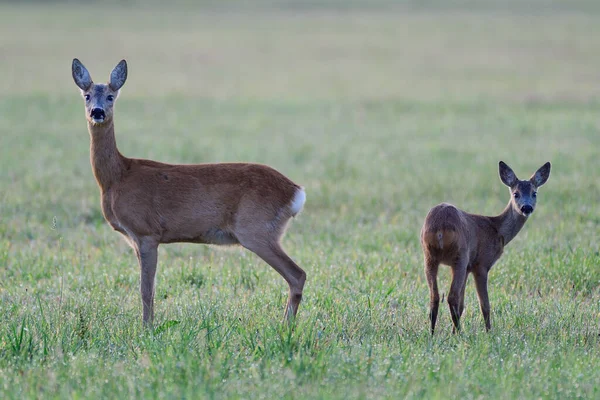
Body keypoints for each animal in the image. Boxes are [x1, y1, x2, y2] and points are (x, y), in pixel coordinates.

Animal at [72, 58, 308, 324]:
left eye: (111, 96)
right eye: (87, 95)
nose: (97, 112)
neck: (117, 177)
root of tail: (295, 192)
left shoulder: (146, 232)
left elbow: (146, 290)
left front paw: (147, 328)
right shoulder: (135, 239)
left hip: (257, 230)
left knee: (297, 274)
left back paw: (285, 326)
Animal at [420, 161, 552, 332]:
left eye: (534, 193)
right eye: (516, 194)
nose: (527, 208)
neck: (497, 230)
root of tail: (440, 228)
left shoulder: (469, 268)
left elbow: (462, 305)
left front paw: (453, 332)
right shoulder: (481, 264)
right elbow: (485, 305)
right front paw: (489, 332)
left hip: (429, 256)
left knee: (435, 297)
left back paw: (433, 333)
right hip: (460, 255)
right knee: (451, 296)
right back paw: (460, 333)